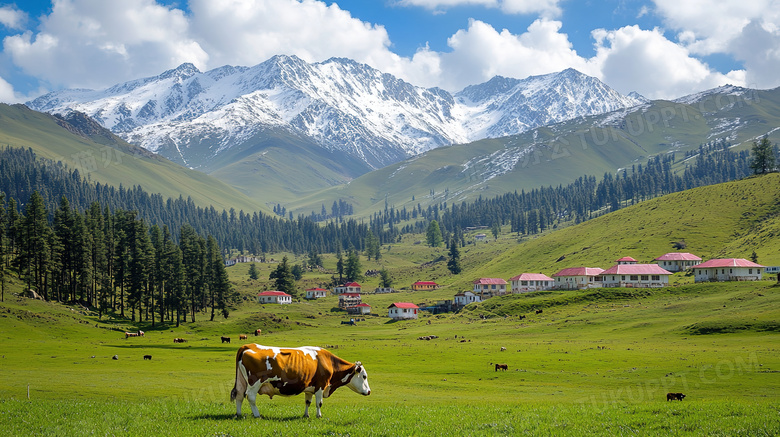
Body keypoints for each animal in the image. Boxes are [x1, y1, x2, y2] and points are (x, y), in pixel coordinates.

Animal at [230, 342, 370, 418]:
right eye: (364, 376)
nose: (369, 391)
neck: (328, 361)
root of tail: (249, 345)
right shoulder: (321, 385)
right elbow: (319, 403)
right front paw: (319, 415)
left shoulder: (309, 387)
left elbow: (308, 402)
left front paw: (306, 415)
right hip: (254, 383)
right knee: (250, 397)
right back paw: (257, 414)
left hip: (242, 382)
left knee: (239, 395)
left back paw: (239, 414)